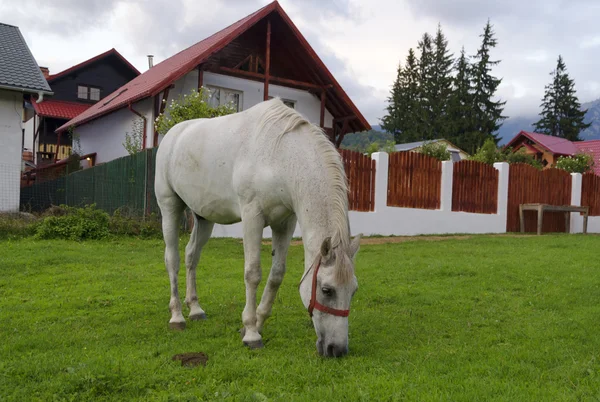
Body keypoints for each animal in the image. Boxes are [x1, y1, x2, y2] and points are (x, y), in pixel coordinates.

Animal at [155, 98, 360, 358]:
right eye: (327, 290)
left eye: (353, 291)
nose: (337, 349)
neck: (279, 155)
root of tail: (173, 135)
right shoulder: (252, 217)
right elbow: (252, 274)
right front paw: (252, 333)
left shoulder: (285, 223)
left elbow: (276, 275)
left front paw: (257, 323)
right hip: (169, 207)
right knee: (172, 259)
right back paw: (177, 316)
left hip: (203, 218)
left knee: (192, 256)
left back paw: (196, 309)